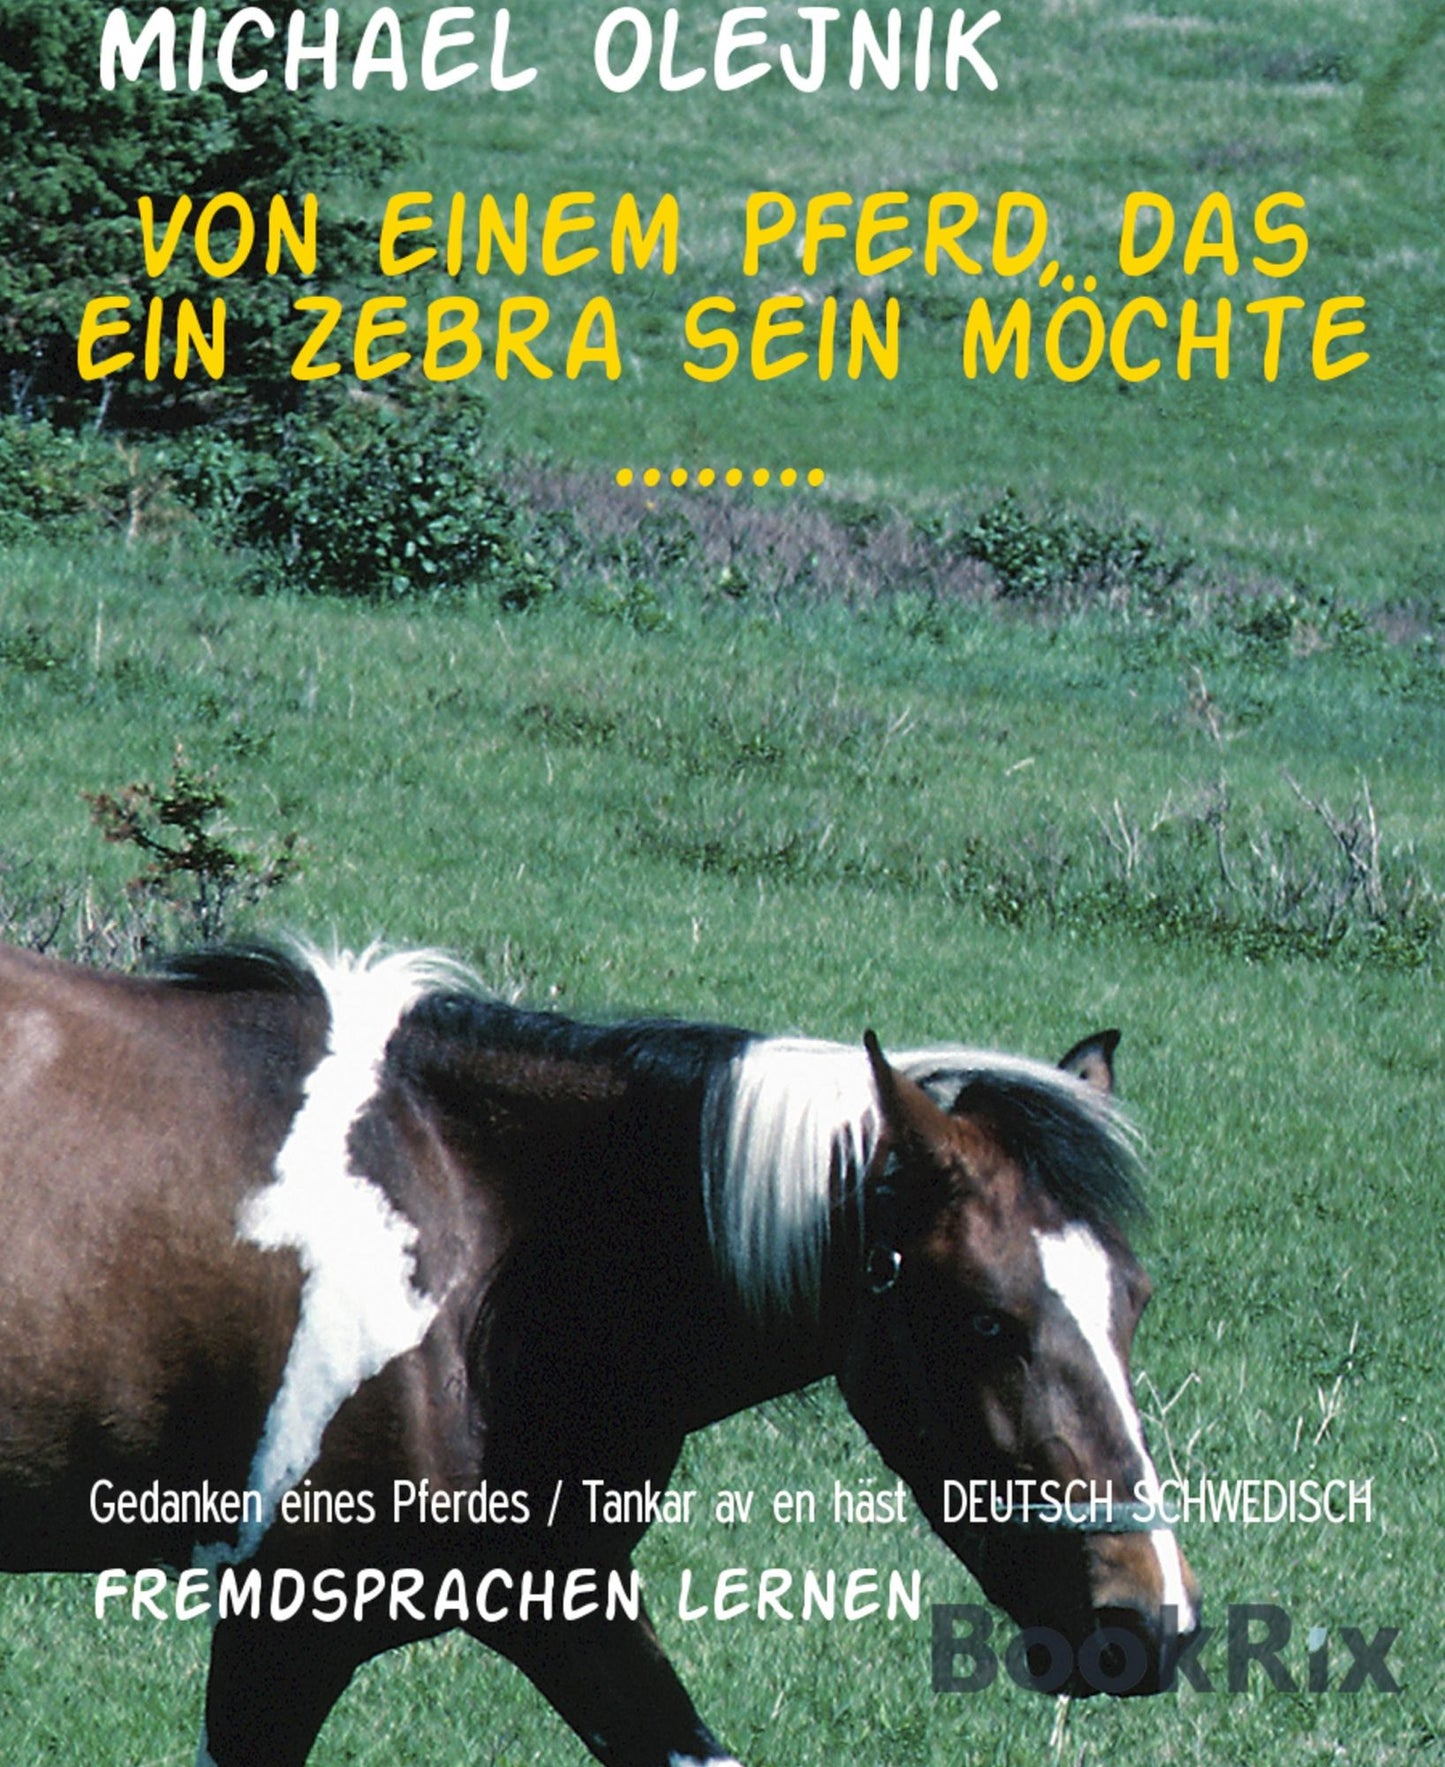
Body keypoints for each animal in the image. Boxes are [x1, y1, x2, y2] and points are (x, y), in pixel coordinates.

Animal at [0, 940, 1199, 1765]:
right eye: (986, 1319)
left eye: (1133, 1300)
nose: (1150, 1621)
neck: (478, 1237)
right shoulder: (287, 1621)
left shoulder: (558, 1600)